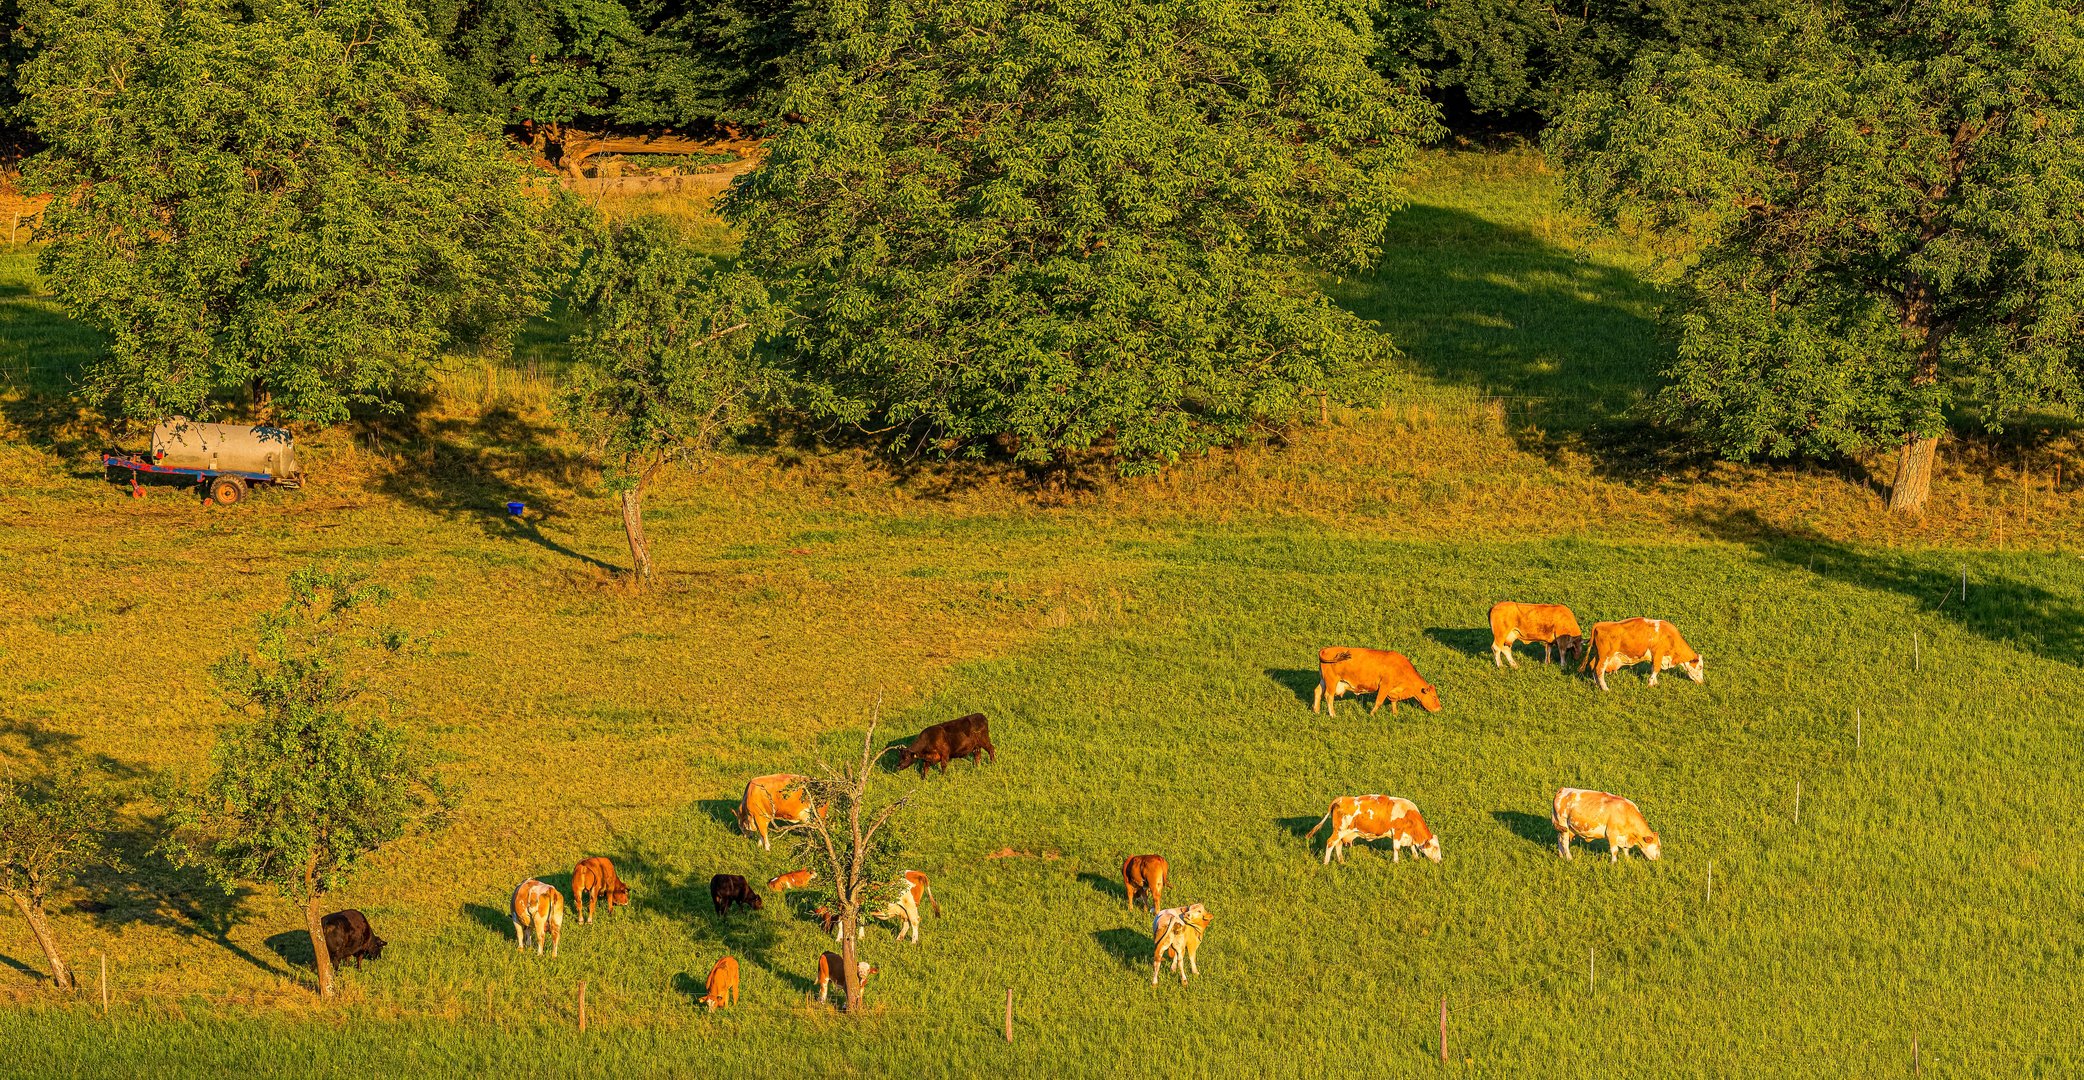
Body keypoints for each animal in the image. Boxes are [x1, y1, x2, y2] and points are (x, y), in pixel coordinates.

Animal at [1308, 650, 1442, 721]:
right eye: (1434, 697)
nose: (1439, 708)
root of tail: (1326, 649)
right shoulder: (1385, 685)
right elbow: (1379, 701)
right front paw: (1372, 714)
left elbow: (1393, 702)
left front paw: (1395, 714)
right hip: (1332, 681)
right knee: (1328, 696)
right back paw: (1332, 714)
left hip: (1324, 680)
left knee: (1317, 691)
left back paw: (1316, 710)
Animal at [1308, 796, 1442, 871]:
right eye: (1435, 848)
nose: (1440, 861)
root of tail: (1341, 799)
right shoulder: (1397, 831)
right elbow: (1396, 848)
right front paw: (1396, 862)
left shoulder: (1408, 836)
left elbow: (1412, 846)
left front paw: (1416, 858)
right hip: (1340, 830)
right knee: (1330, 843)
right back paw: (1326, 863)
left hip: (1342, 832)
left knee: (1338, 845)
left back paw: (1342, 862)